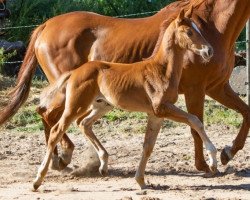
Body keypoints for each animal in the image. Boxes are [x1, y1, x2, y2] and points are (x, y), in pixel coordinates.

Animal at [34, 10, 215, 191]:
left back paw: (103, 164)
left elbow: (148, 146)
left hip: (102, 106)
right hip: (75, 106)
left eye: (198, 29)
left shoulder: (156, 115)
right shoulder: (162, 108)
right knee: (57, 130)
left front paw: (140, 181)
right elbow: (195, 120)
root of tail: (75, 72)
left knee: (84, 123)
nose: (209, 51)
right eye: (189, 32)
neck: (161, 70)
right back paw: (38, 179)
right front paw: (213, 161)